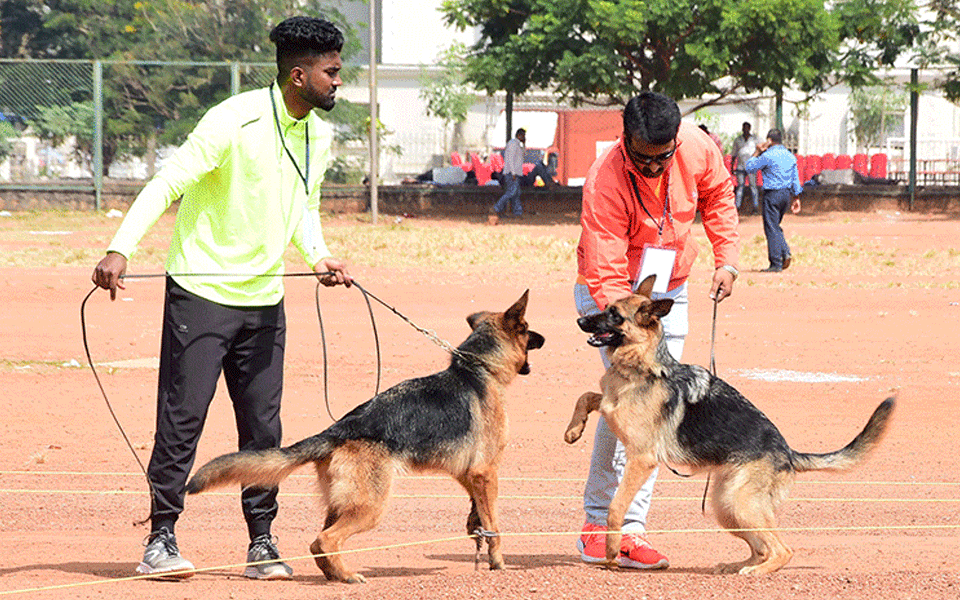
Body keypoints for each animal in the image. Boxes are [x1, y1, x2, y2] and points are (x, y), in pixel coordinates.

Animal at [188, 290, 544, 580]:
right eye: (527, 328)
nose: (543, 339)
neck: (478, 367)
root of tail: (338, 429)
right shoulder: (487, 472)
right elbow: (495, 524)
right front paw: (497, 561)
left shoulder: (470, 474)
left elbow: (479, 513)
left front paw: (475, 531)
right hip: (370, 507)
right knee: (325, 540)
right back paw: (347, 576)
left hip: (343, 503)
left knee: (318, 544)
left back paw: (336, 574)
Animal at [564, 276, 892, 576]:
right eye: (605, 308)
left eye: (614, 315)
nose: (580, 320)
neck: (642, 367)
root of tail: (788, 452)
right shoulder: (610, 407)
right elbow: (587, 396)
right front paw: (573, 430)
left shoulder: (641, 459)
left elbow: (616, 507)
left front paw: (611, 551)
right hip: (727, 508)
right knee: (761, 547)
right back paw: (736, 565)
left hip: (739, 505)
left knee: (782, 549)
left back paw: (756, 571)